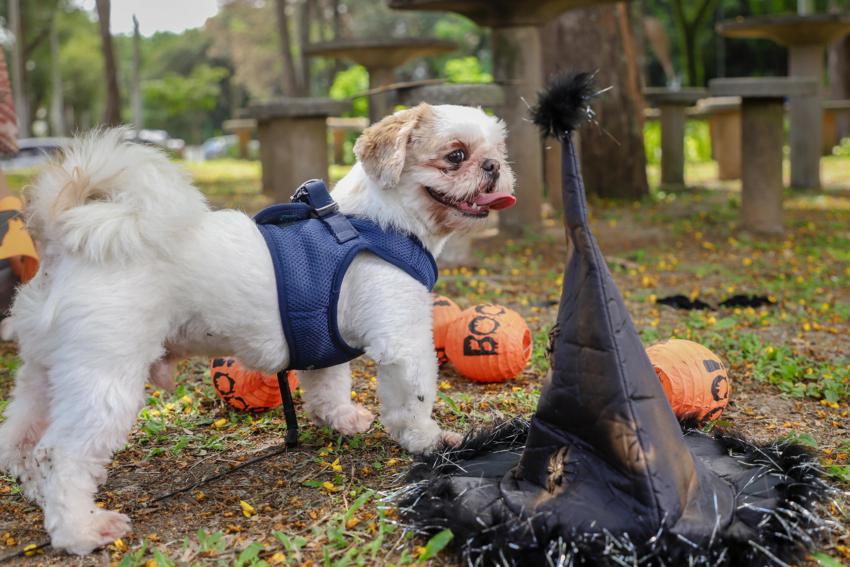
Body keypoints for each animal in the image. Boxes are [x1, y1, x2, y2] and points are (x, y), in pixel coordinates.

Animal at [0, 104, 516, 556]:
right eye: (456, 155)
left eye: (498, 151)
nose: (493, 166)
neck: (378, 224)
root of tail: (65, 240)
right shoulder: (404, 340)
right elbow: (413, 401)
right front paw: (431, 442)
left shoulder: (321, 340)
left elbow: (328, 385)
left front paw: (341, 418)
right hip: (105, 378)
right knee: (62, 453)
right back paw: (81, 528)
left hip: (46, 373)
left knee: (23, 439)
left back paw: (38, 492)